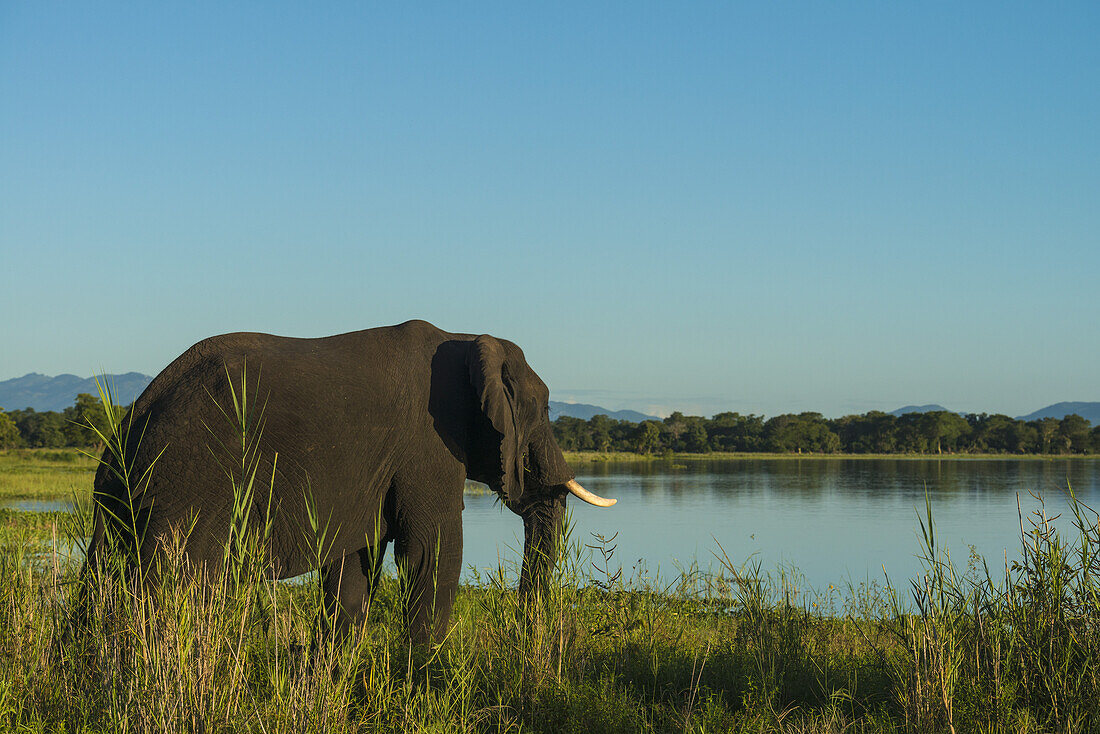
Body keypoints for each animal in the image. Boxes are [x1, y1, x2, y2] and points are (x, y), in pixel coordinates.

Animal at [86, 319, 616, 638]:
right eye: (543, 408)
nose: (526, 625)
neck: (466, 338)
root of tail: (138, 415)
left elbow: (353, 566)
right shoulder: (428, 445)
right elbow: (433, 553)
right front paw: (424, 686)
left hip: (128, 497)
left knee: (106, 575)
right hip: (189, 483)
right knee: (176, 583)